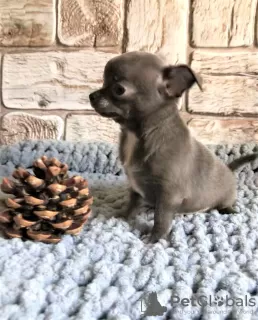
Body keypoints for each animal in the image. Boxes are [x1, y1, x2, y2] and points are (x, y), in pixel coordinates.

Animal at [89, 50, 258, 242]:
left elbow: (161, 218)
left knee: (224, 204)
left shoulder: (168, 195)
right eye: (103, 82)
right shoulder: (136, 188)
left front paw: (154, 239)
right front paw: (123, 216)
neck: (137, 135)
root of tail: (229, 169)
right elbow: (132, 204)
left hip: (224, 198)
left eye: (119, 90)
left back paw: (229, 209)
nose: (92, 95)